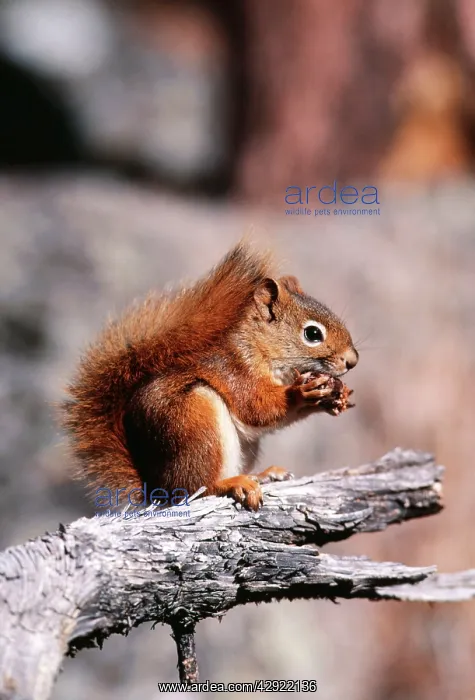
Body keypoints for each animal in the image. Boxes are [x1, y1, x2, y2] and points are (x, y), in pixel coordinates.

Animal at [62, 242, 358, 511]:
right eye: (312, 334)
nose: (352, 361)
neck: (258, 346)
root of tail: (155, 487)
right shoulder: (234, 370)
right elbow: (257, 408)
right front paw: (300, 393)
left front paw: (337, 397)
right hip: (196, 423)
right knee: (196, 488)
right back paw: (232, 483)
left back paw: (262, 474)